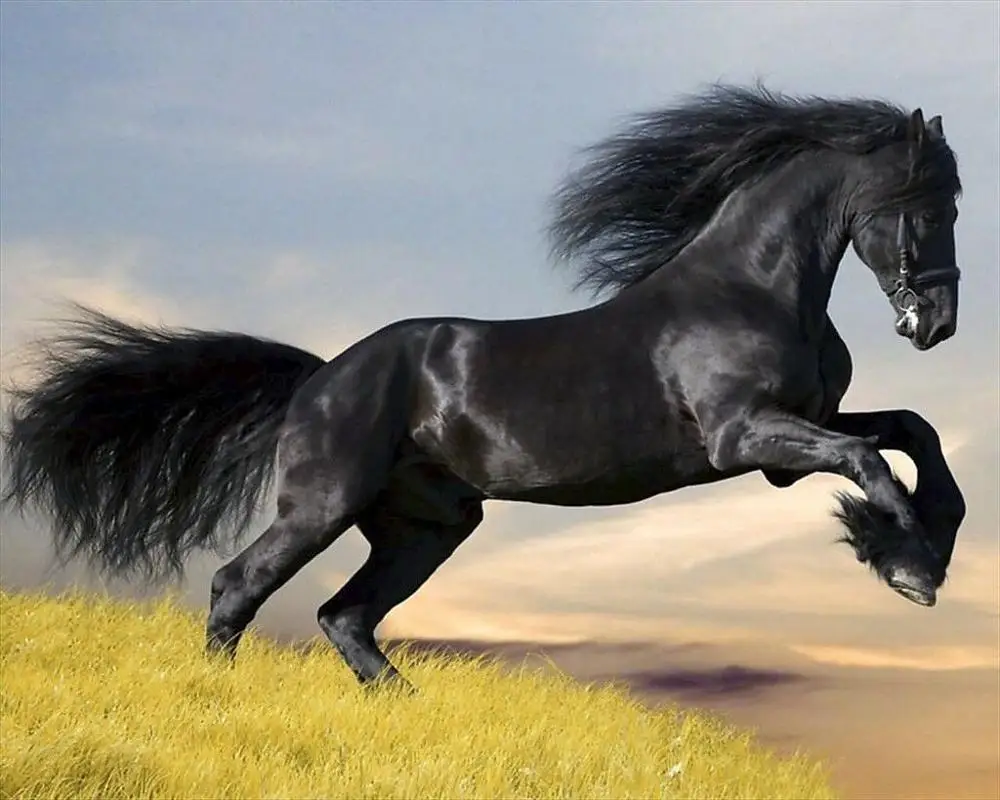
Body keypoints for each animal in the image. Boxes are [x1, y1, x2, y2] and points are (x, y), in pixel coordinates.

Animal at [1, 85, 967, 690]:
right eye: (928, 205)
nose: (938, 324)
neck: (752, 288)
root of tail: (320, 378)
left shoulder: (793, 437)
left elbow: (912, 431)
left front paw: (924, 544)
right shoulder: (746, 439)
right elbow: (869, 461)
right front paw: (906, 565)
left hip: (427, 526)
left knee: (344, 616)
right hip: (323, 505)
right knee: (238, 586)